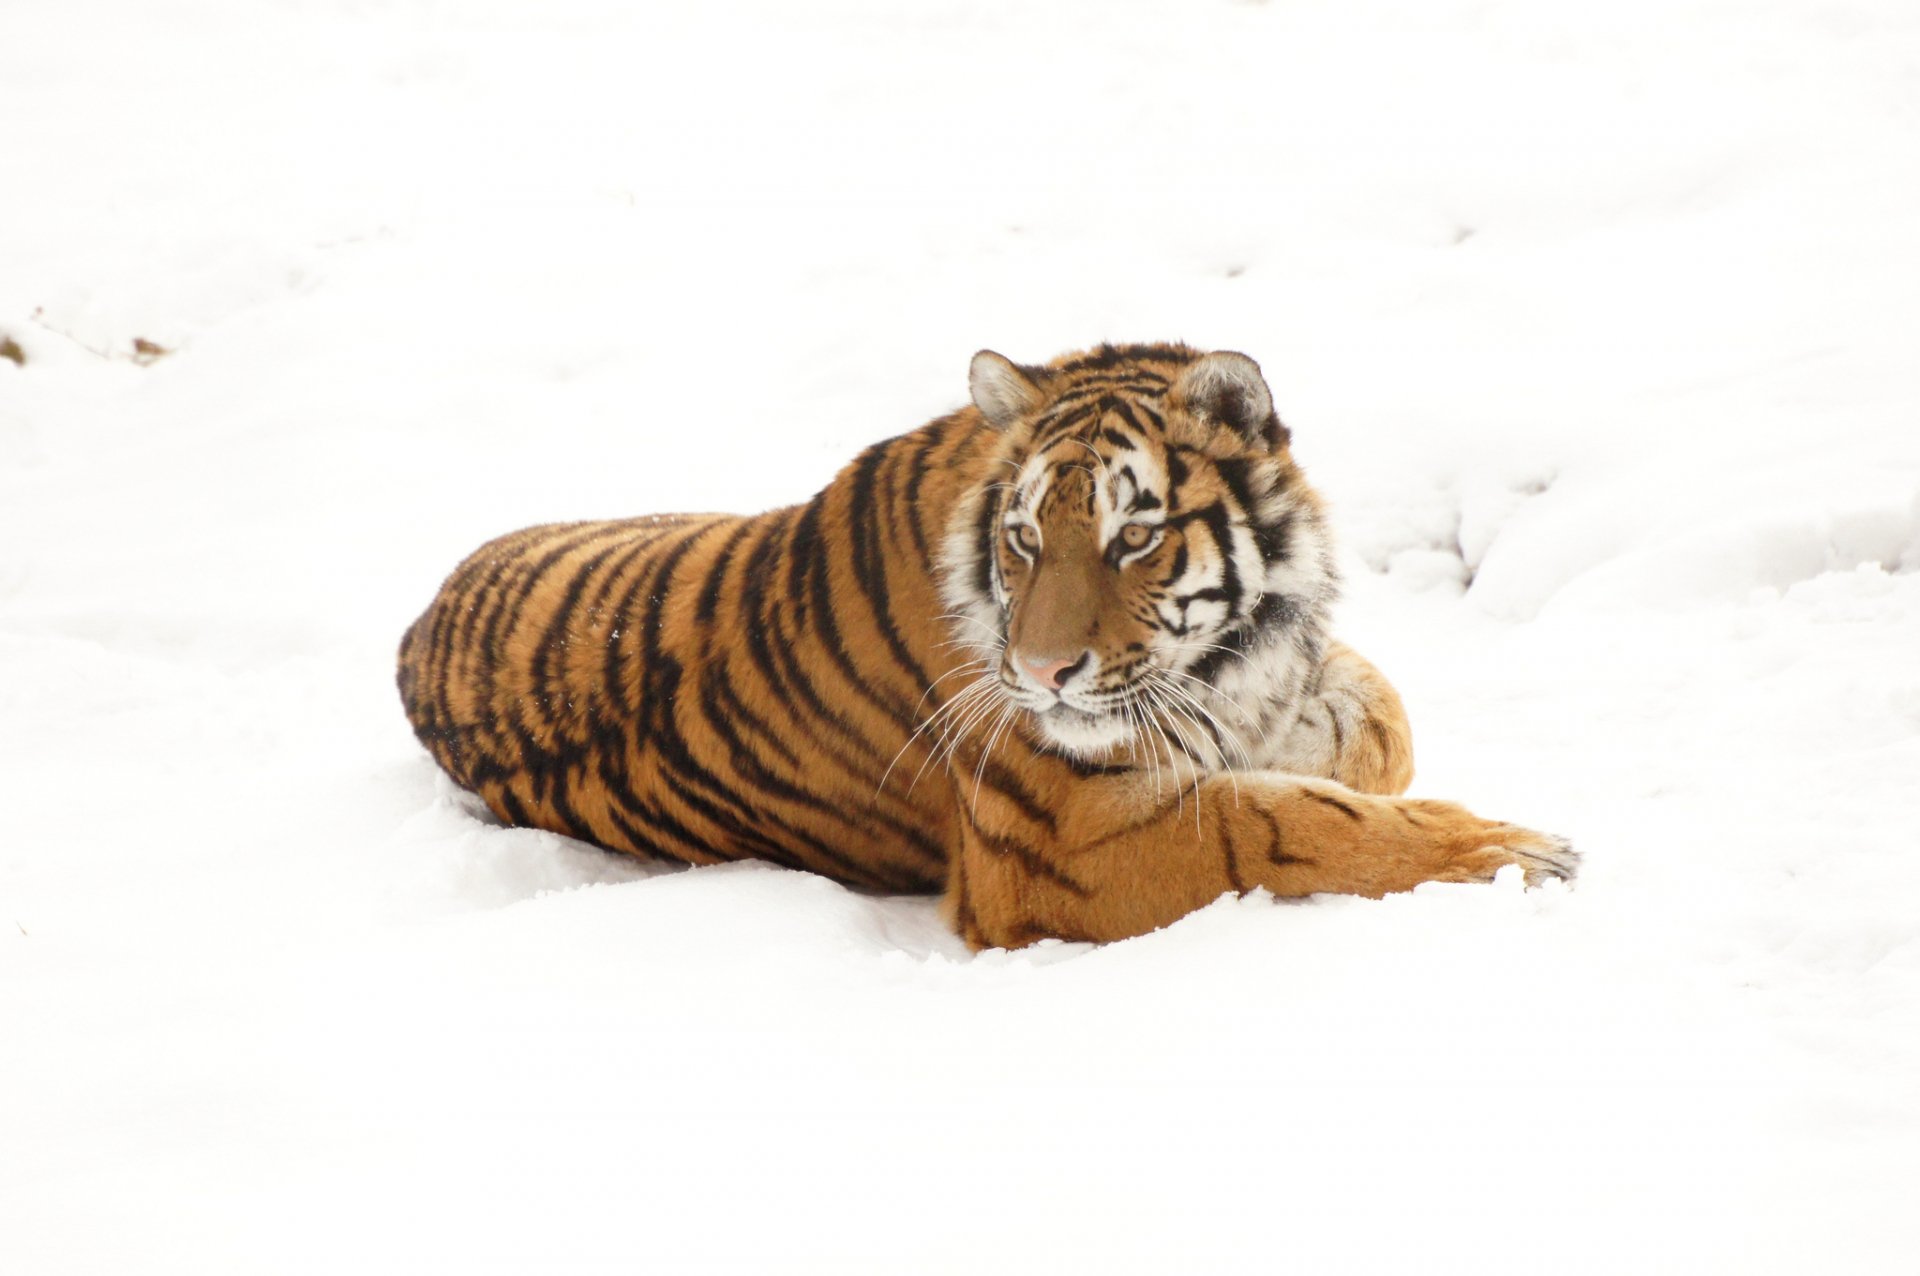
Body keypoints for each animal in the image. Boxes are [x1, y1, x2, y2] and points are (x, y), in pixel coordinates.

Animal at [396, 341, 1575, 949]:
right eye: (1024, 538)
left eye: (1134, 535)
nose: (1044, 674)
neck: (1227, 659)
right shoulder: (1059, 849)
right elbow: (1287, 825)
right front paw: (1517, 853)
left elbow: (1373, 721)